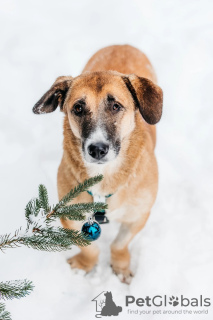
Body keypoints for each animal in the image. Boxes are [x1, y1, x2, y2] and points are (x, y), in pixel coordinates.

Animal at [32, 44, 163, 282]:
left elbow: (119, 244)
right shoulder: (70, 218)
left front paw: (120, 267)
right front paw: (84, 266)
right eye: (78, 108)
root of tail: (122, 44)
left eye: (116, 106)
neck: (105, 177)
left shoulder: (138, 216)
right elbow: (89, 248)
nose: (97, 149)